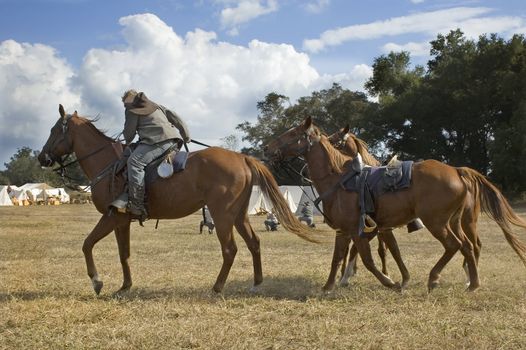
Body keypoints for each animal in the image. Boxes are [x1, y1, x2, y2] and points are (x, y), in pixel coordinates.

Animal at [39, 104, 318, 296]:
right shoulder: (122, 221)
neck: (108, 164)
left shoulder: (112, 217)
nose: (42, 157)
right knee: (254, 243)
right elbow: (123, 254)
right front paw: (125, 286)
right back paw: (256, 283)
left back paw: (217, 287)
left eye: (53, 130)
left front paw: (97, 281)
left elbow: (87, 244)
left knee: (230, 249)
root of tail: (242, 158)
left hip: (222, 216)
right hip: (238, 215)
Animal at [266, 117, 526, 292]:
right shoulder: (348, 230)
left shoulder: (361, 231)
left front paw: (390, 281)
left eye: (292, 134)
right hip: (455, 221)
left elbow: (369, 260)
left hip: (438, 222)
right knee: (469, 246)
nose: (268, 148)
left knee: (456, 245)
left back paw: (437, 278)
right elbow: (340, 257)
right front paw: (329, 286)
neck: (338, 179)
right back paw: (472, 282)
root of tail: (457, 171)